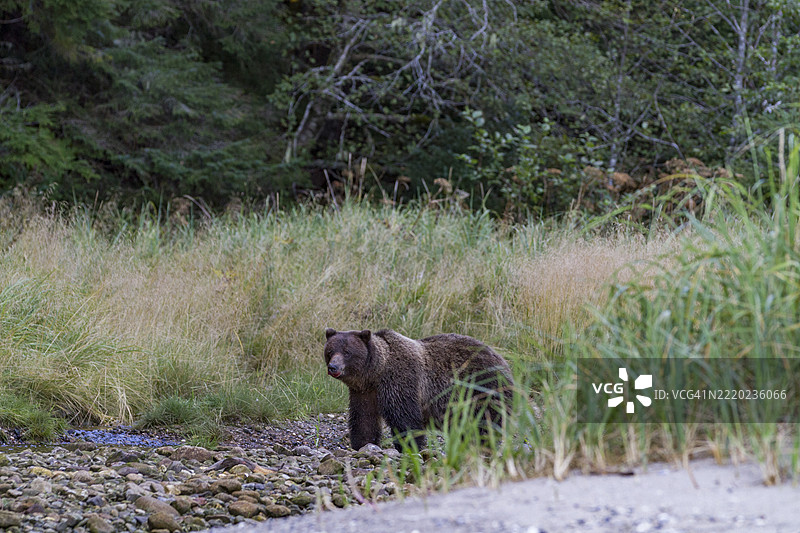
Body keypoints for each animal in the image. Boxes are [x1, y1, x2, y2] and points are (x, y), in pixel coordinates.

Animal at [323, 328, 514, 451]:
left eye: (347, 352)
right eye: (330, 351)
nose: (333, 367)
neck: (376, 373)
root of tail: (502, 360)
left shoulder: (400, 381)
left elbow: (405, 418)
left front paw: (409, 446)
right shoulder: (364, 392)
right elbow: (364, 419)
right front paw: (362, 444)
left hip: (482, 387)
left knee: (486, 421)